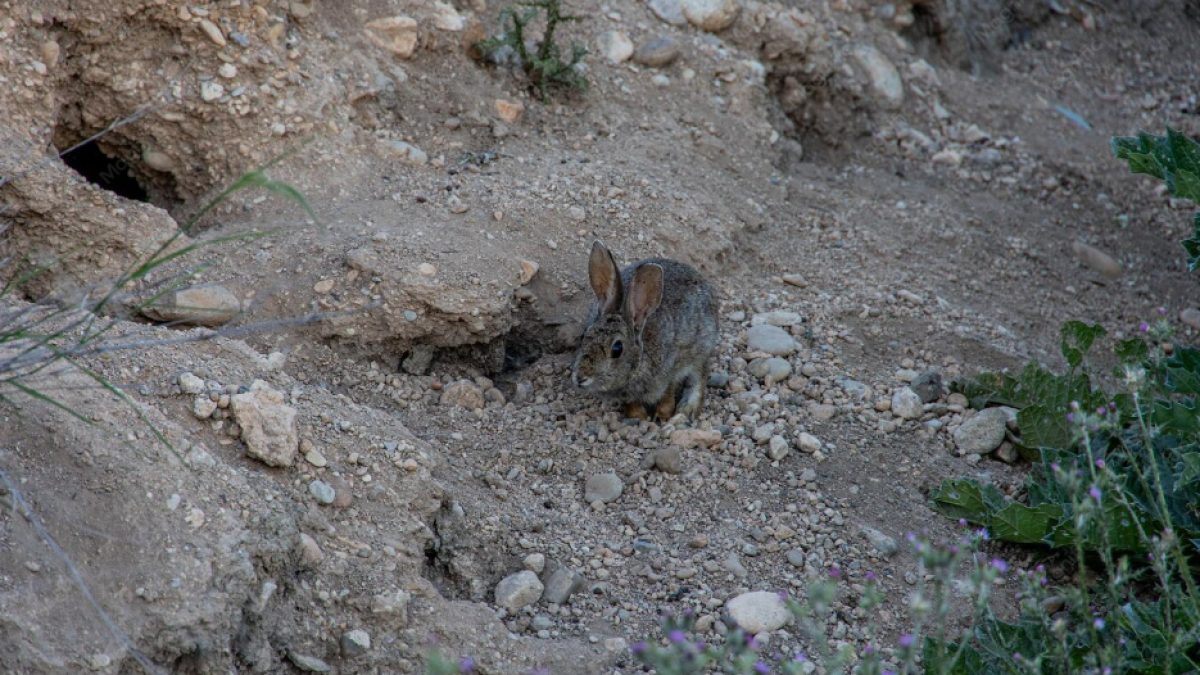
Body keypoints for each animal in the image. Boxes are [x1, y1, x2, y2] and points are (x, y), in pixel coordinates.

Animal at [571, 241, 719, 421]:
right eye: (585, 337)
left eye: (617, 349)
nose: (581, 377)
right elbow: (632, 403)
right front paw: (639, 417)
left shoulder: (671, 367)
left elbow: (668, 393)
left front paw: (661, 416)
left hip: (702, 348)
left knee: (699, 376)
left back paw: (687, 409)